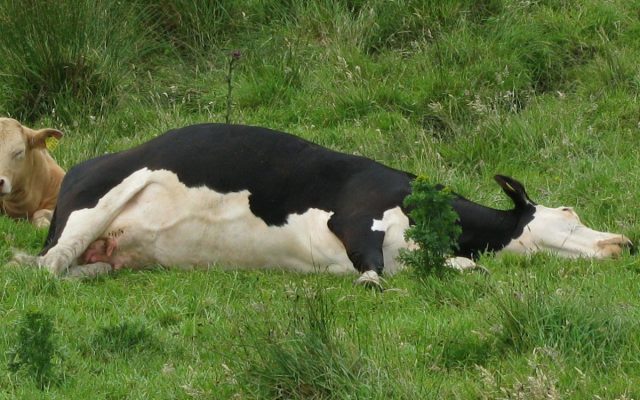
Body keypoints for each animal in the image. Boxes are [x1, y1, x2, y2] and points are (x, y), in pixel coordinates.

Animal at [12, 123, 632, 282]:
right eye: (570, 213)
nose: (625, 242)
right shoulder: (357, 212)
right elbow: (372, 267)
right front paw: (372, 282)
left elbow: (459, 268)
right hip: (98, 199)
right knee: (44, 266)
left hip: (111, 253)